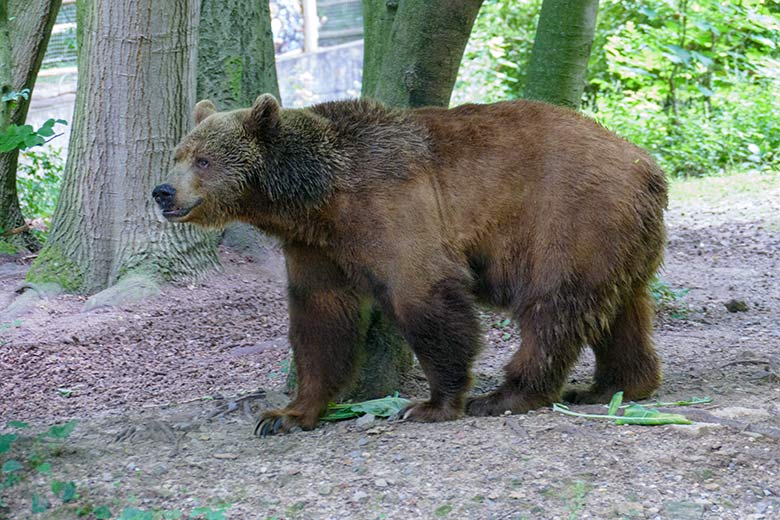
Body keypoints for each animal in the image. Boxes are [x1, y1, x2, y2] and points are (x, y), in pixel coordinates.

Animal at [154, 93, 672, 434]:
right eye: (177, 154)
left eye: (203, 160)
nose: (163, 192)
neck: (318, 199)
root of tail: (648, 164)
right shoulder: (315, 248)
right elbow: (320, 318)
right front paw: (286, 414)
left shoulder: (393, 206)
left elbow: (423, 295)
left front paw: (431, 404)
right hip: (617, 238)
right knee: (618, 309)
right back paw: (615, 386)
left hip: (569, 217)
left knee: (553, 308)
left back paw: (507, 394)